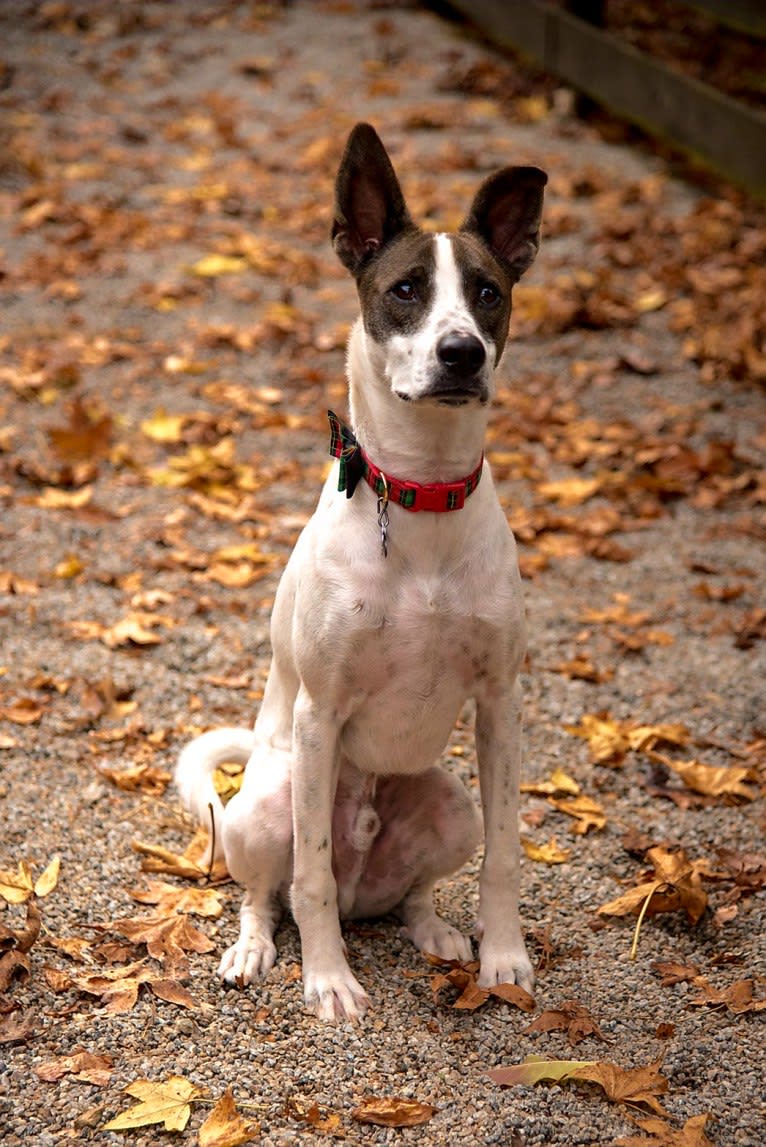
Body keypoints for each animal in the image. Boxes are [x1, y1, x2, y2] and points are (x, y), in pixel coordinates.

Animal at [175, 125, 543, 1023]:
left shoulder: (500, 702)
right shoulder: (321, 711)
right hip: (264, 802)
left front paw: (504, 956)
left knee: (410, 891)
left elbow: (507, 855)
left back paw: (435, 929)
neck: (422, 494)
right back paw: (256, 947)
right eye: (406, 289)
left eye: (487, 292)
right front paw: (329, 979)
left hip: (449, 803)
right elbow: (307, 873)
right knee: (272, 890)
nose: (461, 353)